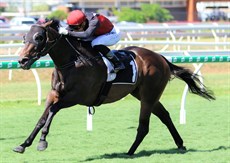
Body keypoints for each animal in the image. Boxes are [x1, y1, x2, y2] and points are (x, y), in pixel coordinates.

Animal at [14, 20, 215, 154]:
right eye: (24, 37)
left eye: (39, 37)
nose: (22, 60)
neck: (72, 63)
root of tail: (161, 58)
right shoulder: (54, 94)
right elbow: (43, 117)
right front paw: (23, 144)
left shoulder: (76, 98)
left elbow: (53, 111)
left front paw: (42, 141)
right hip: (144, 94)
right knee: (164, 116)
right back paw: (180, 144)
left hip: (149, 95)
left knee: (144, 126)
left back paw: (129, 152)